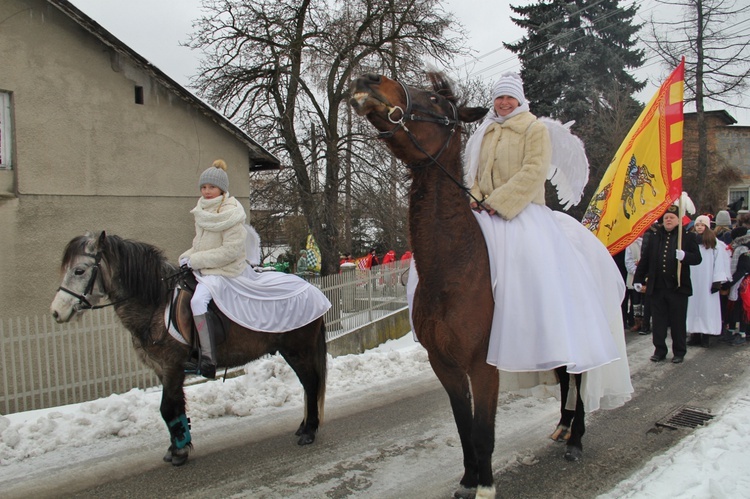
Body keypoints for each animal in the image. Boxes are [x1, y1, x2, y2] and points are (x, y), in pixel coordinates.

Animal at [50, 232, 326, 466]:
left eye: (79, 270)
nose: (56, 312)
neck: (156, 305)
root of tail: (312, 290)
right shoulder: (163, 369)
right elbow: (175, 408)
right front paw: (178, 445)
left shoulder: (172, 366)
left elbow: (167, 407)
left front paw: (180, 451)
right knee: (307, 385)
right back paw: (303, 426)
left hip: (298, 350)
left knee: (311, 383)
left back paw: (309, 431)